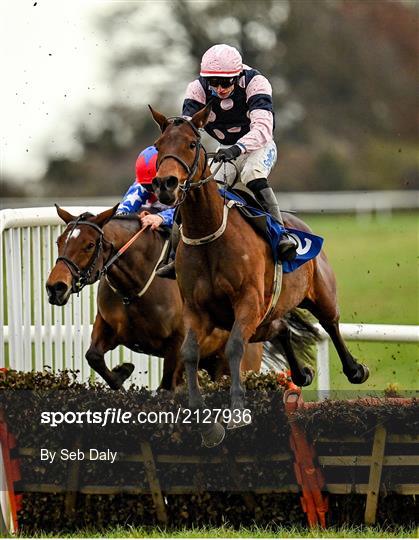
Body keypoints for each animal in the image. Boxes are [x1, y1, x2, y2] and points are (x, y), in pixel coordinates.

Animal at [46, 205, 262, 390]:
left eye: (89, 245)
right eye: (59, 241)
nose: (55, 287)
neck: (133, 289)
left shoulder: (178, 343)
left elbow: (167, 386)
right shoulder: (107, 325)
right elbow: (93, 356)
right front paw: (122, 372)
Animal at [149, 104, 370, 448]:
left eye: (191, 143)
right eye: (159, 146)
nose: (166, 184)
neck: (209, 232)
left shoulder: (247, 302)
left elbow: (234, 349)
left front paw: (238, 412)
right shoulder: (196, 311)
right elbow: (189, 354)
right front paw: (208, 426)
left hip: (318, 293)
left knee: (331, 323)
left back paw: (355, 370)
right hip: (263, 319)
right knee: (281, 329)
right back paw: (301, 374)